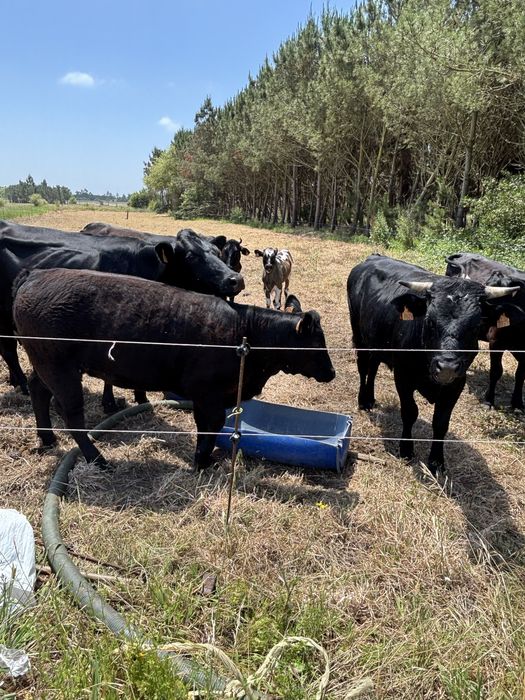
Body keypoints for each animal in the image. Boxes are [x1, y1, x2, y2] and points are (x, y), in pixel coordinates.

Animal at [0, 221, 243, 407]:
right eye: (191, 257)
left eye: (217, 253)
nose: (235, 279)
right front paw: (110, 403)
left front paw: (141, 398)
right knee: (9, 350)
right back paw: (22, 384)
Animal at [13, 268, 335, 470]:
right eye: (317, 343)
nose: (331, 373)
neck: (246, 332)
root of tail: (36, 274)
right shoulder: (208, 395)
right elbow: (209, 426)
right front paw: (202, 462)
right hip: (59, 368)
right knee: (71, 414)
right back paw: (98, 459)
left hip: (44, 364)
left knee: (38, 390)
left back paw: (47, 438)